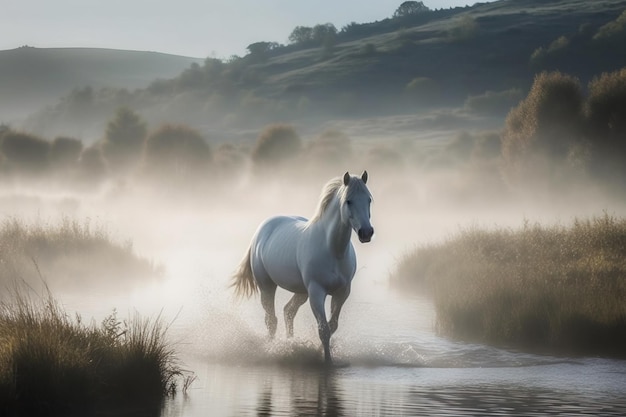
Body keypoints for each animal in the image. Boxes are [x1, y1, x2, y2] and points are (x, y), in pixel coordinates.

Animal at [232, 171, 372, 362]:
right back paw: (271, 347)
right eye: (348, 201)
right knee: (271, 320)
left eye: (369, 199)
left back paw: (290, 342)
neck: (332, 251)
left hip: (301, 292)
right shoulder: (316, 292)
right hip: (267, 286)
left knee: (288, 312)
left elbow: (332, 326)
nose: (367, 233)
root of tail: (260, 232)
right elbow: (324, 330)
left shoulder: (342, 293)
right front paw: (327, 361)